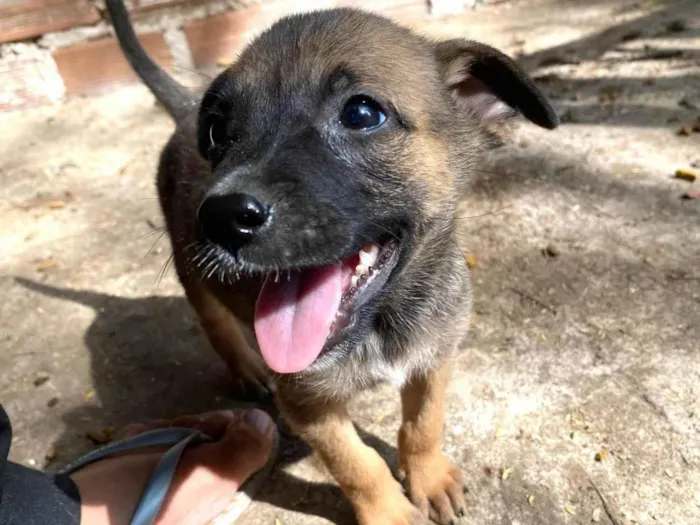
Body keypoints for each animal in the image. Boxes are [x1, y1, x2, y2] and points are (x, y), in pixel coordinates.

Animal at [105, 2, 556, 520]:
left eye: (361, 113)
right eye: (218, 131)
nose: (219, 217)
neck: (382, 321)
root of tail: (181, 114)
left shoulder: (434, 359)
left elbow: (424, 423)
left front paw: (429, 478)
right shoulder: (307, 403)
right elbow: (356, 465)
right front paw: (390, 513)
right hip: (191, 269)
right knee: (216, 324)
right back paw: (246, 369)